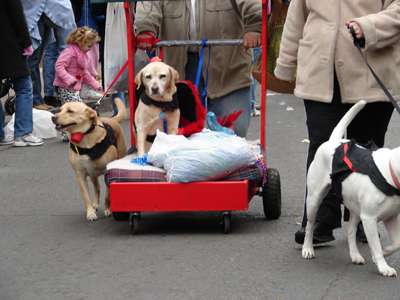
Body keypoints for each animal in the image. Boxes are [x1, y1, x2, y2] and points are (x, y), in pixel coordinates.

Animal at [304, 100, 400, 276]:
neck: (390, 173)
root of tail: (333, 141)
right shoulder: (369, 219)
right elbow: (376, 247)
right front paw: (383, 266)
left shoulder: (390, 217)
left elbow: (397, 243)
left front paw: (385, 253)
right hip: (314, 200)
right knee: (310, 225)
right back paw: (307, 249)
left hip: (355, 207)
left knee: (350, 230)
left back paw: (355, 255)